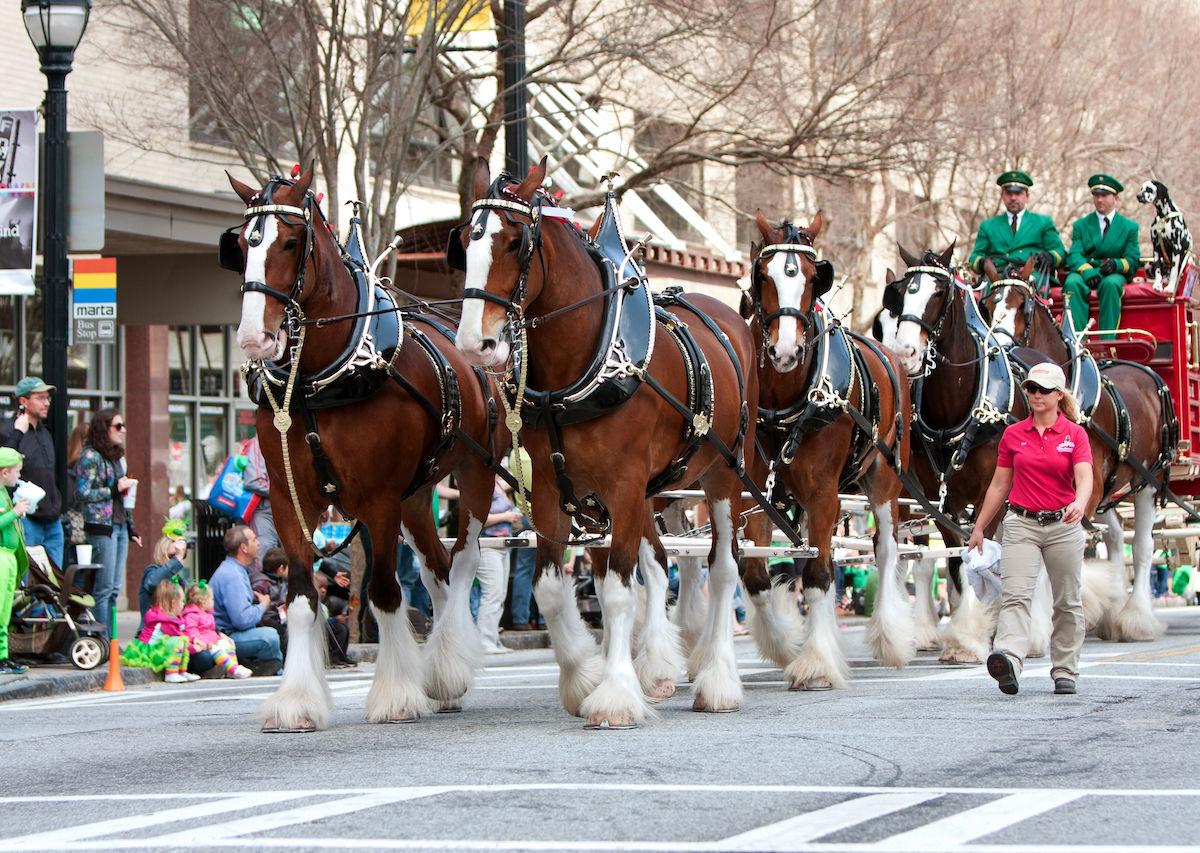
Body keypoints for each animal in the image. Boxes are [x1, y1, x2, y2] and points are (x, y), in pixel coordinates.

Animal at [226, 170, 504, 729]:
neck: (321, 379)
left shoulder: (377, 499)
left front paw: (396, 695)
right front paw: (296, 700)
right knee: (437, 572)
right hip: (416, 498)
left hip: (475, 477)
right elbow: (302, 597)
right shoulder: (289, 499)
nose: (254, 338)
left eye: (290, 242)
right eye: (242, 245)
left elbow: (382, 592)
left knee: (463, 563)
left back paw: (445, 672)